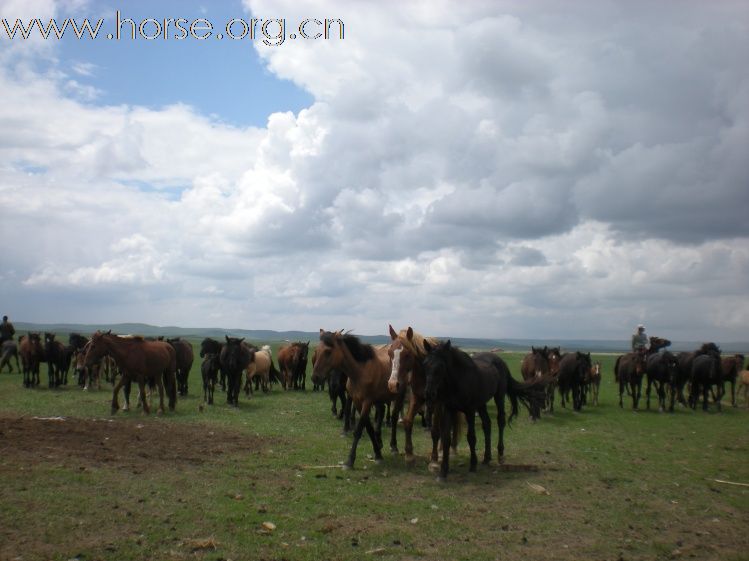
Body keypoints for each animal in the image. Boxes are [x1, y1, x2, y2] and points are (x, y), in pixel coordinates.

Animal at [420, 340, 544, 480]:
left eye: (441, 366)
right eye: (424, 364)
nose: (428, 394)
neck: (459, 380)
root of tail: (500, 361)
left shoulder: (469, 411)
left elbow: (471, 437)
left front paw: (473, 465)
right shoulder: (448, 409)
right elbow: (446, 439)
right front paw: (443, 472)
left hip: (499, 397)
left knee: (500, 421)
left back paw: (500, 454)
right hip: (481, 404)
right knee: (487, 424)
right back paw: (486, 457)